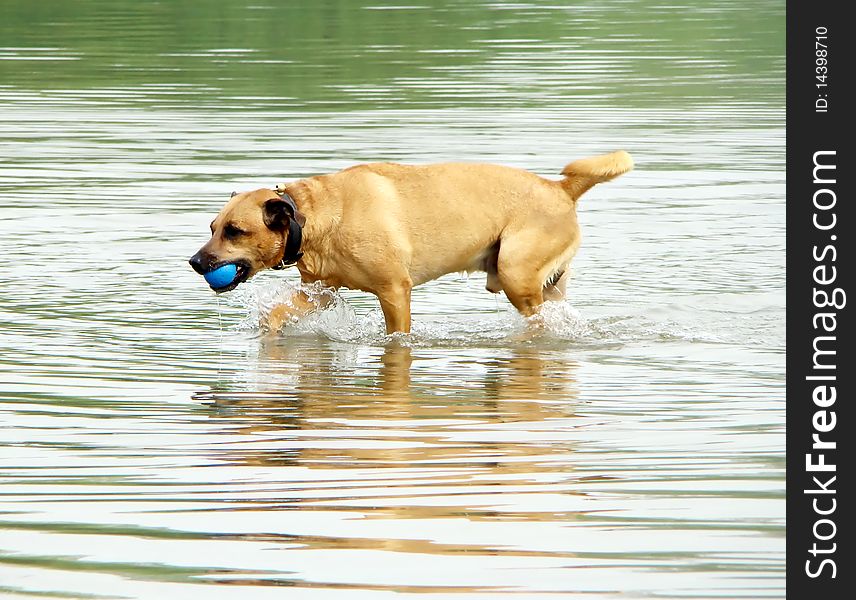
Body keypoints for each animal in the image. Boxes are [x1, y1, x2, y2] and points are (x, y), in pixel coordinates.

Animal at [191, 151, 632, 332]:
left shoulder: (394, 291)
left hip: (516, 275)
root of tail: (561, 188)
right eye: (212, 226)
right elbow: (278, 315)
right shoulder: (319, 291)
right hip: (543, 282)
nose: (195, 262)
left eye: (235, 231)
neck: (315, 216)